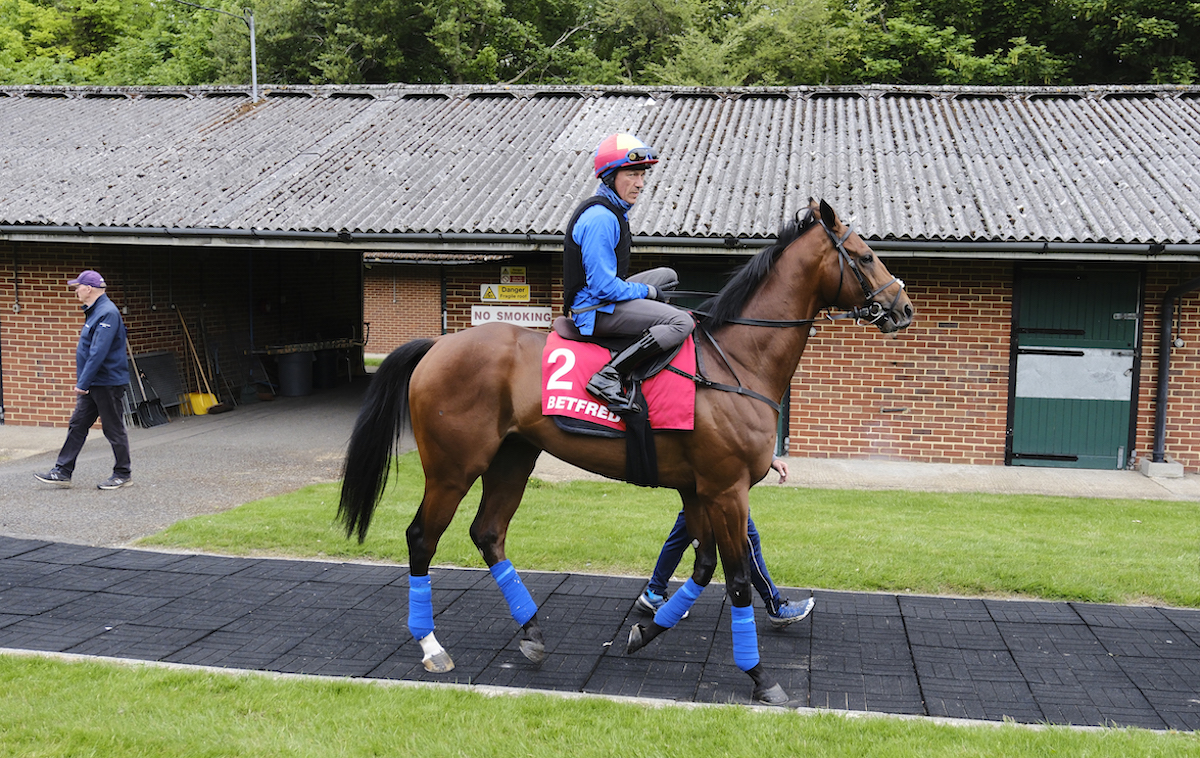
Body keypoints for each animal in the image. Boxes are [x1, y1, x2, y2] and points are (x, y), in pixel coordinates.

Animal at [343, 196, 912, 705]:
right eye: (864, 255)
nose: (902, 307)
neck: (736, 362)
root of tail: (438, 345)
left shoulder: (698, 490)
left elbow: (703, 566)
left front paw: (647, 630)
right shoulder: (727, 491)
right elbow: (737, 581)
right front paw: (759, 677)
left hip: (513, 458)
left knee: (488, 533)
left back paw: (532, 632)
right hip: (453, 467)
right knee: (422, 538)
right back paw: (431, 646)